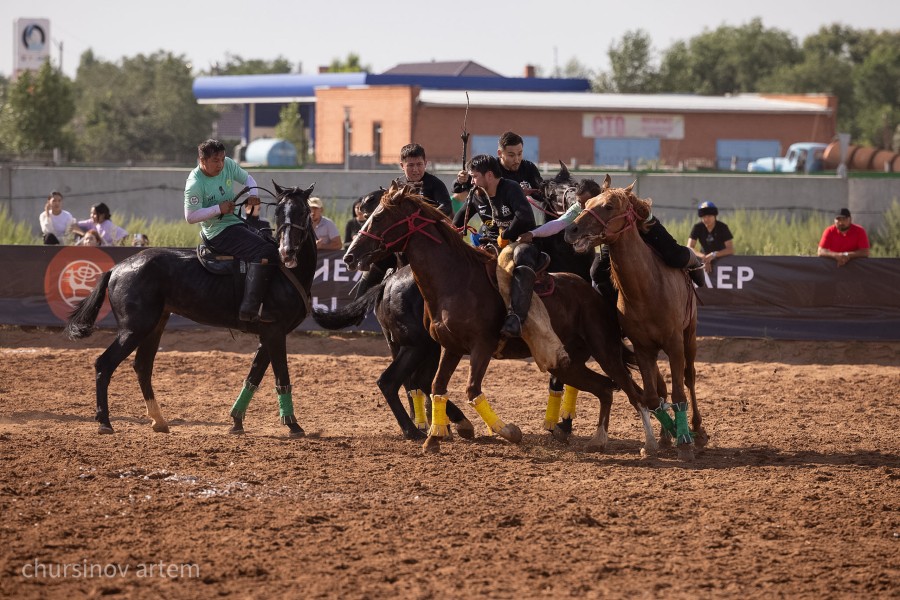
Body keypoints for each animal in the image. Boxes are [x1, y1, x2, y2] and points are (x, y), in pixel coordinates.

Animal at [64, 182, 316, 436]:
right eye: (278, 212)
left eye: (303, 212)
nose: (287, 251)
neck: (283, 272)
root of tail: (116, 269)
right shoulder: (275, 332)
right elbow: (281, 376)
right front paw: (293, 424)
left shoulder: (268, 335)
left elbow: (253, 377)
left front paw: (237, 421)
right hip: (133, 329)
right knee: (104, 364)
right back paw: (105, 421)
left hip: (154, 326)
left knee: (142, 366)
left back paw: (158, 420)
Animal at [342, 183, 648, 454]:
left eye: (378, 217)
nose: (349, 256)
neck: (455, 281)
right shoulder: (450, 348)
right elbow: (439, 387)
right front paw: (435, 438)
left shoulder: (481, 346)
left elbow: (470, 389)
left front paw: (508, 431)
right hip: (566, 361)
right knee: (605, 388)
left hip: (602, 351)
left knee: (626, 389)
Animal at [568, 176, 708, 462]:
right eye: (587, 204)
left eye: (609, 206)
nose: (572, 230)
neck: (647, 290)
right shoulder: (643, 348)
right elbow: (653, 398)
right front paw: (661, 439)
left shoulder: (675, 344)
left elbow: (679, 392)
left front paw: (685, 443)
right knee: (660, 387)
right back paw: (667, 436)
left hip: (689, 336)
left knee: (689, 378)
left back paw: (697, 430)